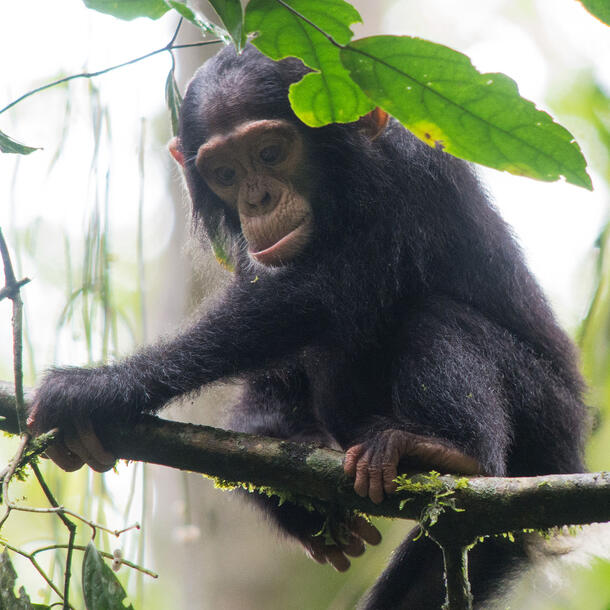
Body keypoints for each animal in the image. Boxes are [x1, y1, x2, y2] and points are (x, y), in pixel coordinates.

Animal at [27, 45, 584, 604]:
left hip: (548, 423)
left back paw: (452, 452)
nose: (258, 199)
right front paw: (293, 498)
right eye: (225, 173)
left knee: (439, 318)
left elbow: (306, 300)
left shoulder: (404, 176)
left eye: (271, 153)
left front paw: (97, 389)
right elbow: (276, 356)